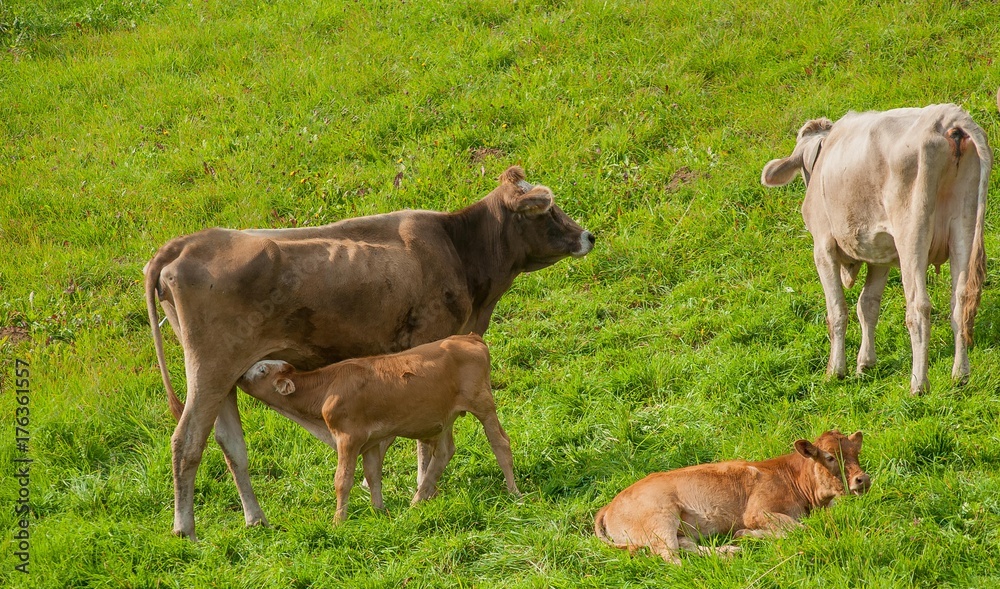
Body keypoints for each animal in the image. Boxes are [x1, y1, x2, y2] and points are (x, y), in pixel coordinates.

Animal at [236, 334, 519, 523]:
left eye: (262, 369)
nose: (239, 375)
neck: (327, 387)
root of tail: (469, 337)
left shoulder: (348, 438)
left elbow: (343, 480)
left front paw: (338, 522)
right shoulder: (371, 441)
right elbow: (373, 475)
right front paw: (379, 511)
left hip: (482, 404)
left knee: (500, 443)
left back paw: (513, 492)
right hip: (445, 416)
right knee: (444, 452)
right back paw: (416, 501)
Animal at [594, 430, 870, 564]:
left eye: (856, 452)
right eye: (830, 457)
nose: (862, 479)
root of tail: (609, 505)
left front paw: (743, 538)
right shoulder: (756, 512)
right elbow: (799, 529)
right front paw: (747, 535)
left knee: (686, 546)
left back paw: (729, 552)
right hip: (659, 520)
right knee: (670, 557)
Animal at [761, 104, 991, 394]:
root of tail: (948, 117)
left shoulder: (822, 247)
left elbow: (837, 310)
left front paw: (836, 370)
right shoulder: (880, 254)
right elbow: (867, 305)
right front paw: (865, 364)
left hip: (911, 231)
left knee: (918, 305)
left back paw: (918, 384)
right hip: (963, 224)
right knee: (960, 302)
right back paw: (960, 375)